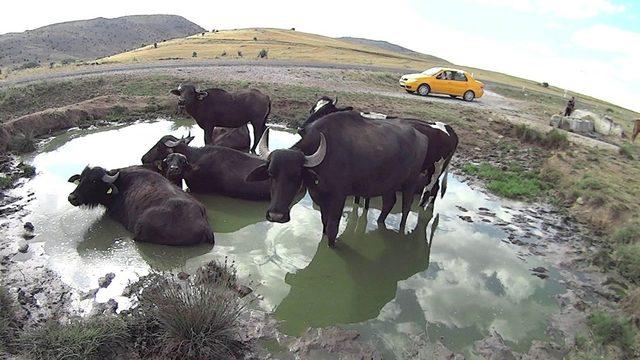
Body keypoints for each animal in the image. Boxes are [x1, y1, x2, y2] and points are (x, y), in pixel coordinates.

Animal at [248, 111, 428, 248]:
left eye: (296, 175)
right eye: (271, 174)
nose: (276, 215)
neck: (325, 161)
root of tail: (421, 136)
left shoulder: (338, 198)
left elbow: (333, 227)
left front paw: (331, 245)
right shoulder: (320, 198)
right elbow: (324, 223)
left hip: (410, 182)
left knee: (406, 207)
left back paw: (401, 229)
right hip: (388, 184)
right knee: (389, 202)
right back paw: (380, 222)